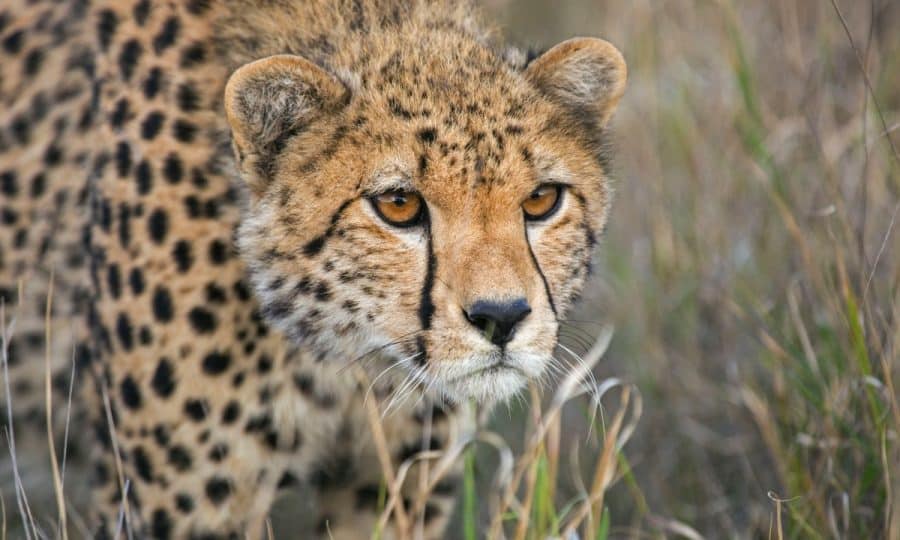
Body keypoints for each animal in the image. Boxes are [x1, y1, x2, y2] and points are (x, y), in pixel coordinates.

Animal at [0, 0, 626, 537]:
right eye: (398, 204)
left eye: (542, 199)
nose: (502, 317)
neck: (340, 357)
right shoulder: (177, 506)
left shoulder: (394, 484)